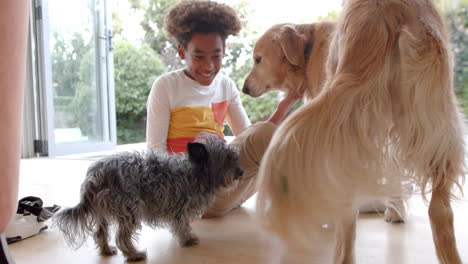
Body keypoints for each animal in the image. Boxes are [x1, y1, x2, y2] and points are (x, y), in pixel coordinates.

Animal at [54, 132, 243, 262]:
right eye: (227, 159)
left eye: (235, 157)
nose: (241, 172)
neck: (195, 173)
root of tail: (95, 176)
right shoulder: (180, 208)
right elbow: (182, 226)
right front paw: (188, 239)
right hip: (130, 209)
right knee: (122, 238)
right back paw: (134, 255)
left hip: (103, 214)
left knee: (101, 234)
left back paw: (107, 250)